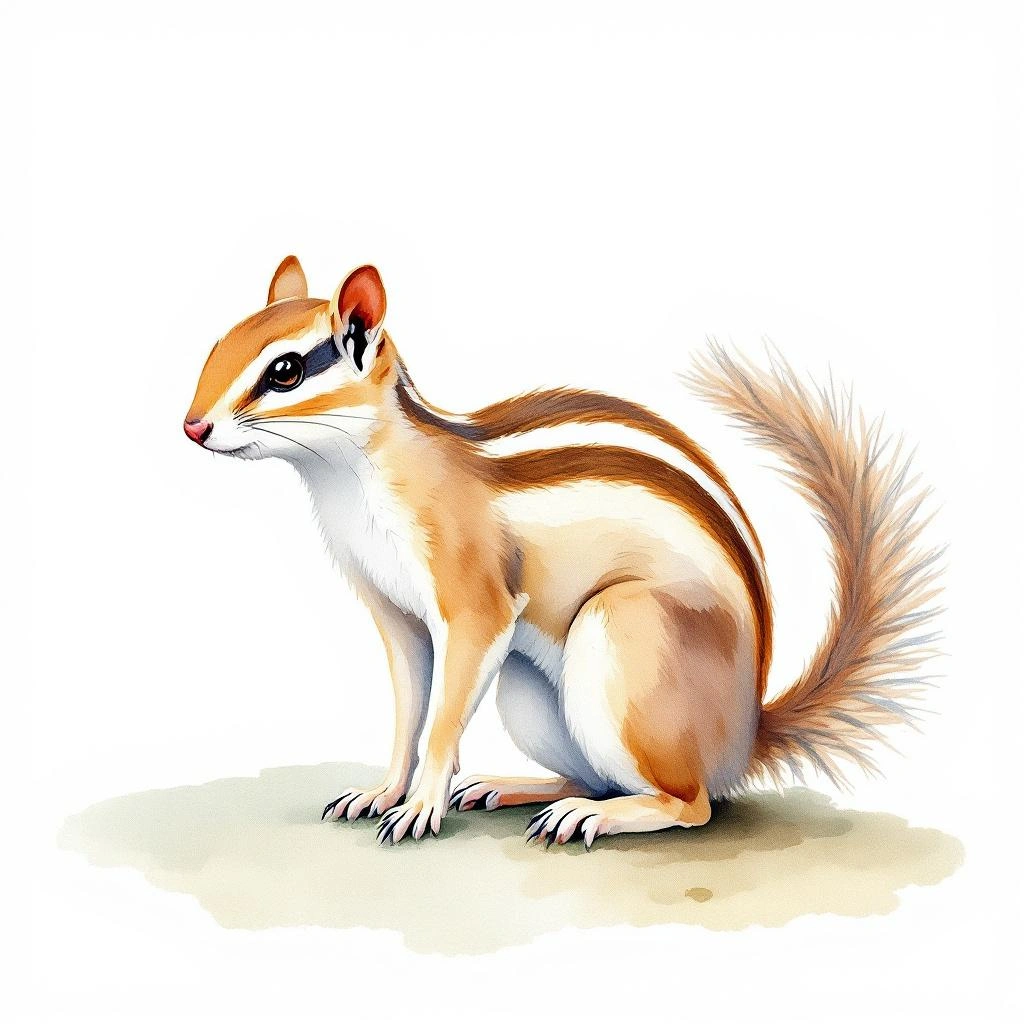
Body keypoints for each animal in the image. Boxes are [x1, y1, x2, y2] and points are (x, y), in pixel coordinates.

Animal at [183, 256, 941, 848]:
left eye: (285, 370)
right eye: (218, 343)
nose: (192, 427)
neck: (349, 472)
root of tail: (747, 734)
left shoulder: (474, 603)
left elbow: (441, 717)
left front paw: (421, 804)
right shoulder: (394, 613)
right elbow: (408, 708)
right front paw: (382, 791)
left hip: (622, 634)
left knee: (689, 803)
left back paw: (592, 817)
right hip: (529, 693)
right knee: (594, 774)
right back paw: (516, 788)